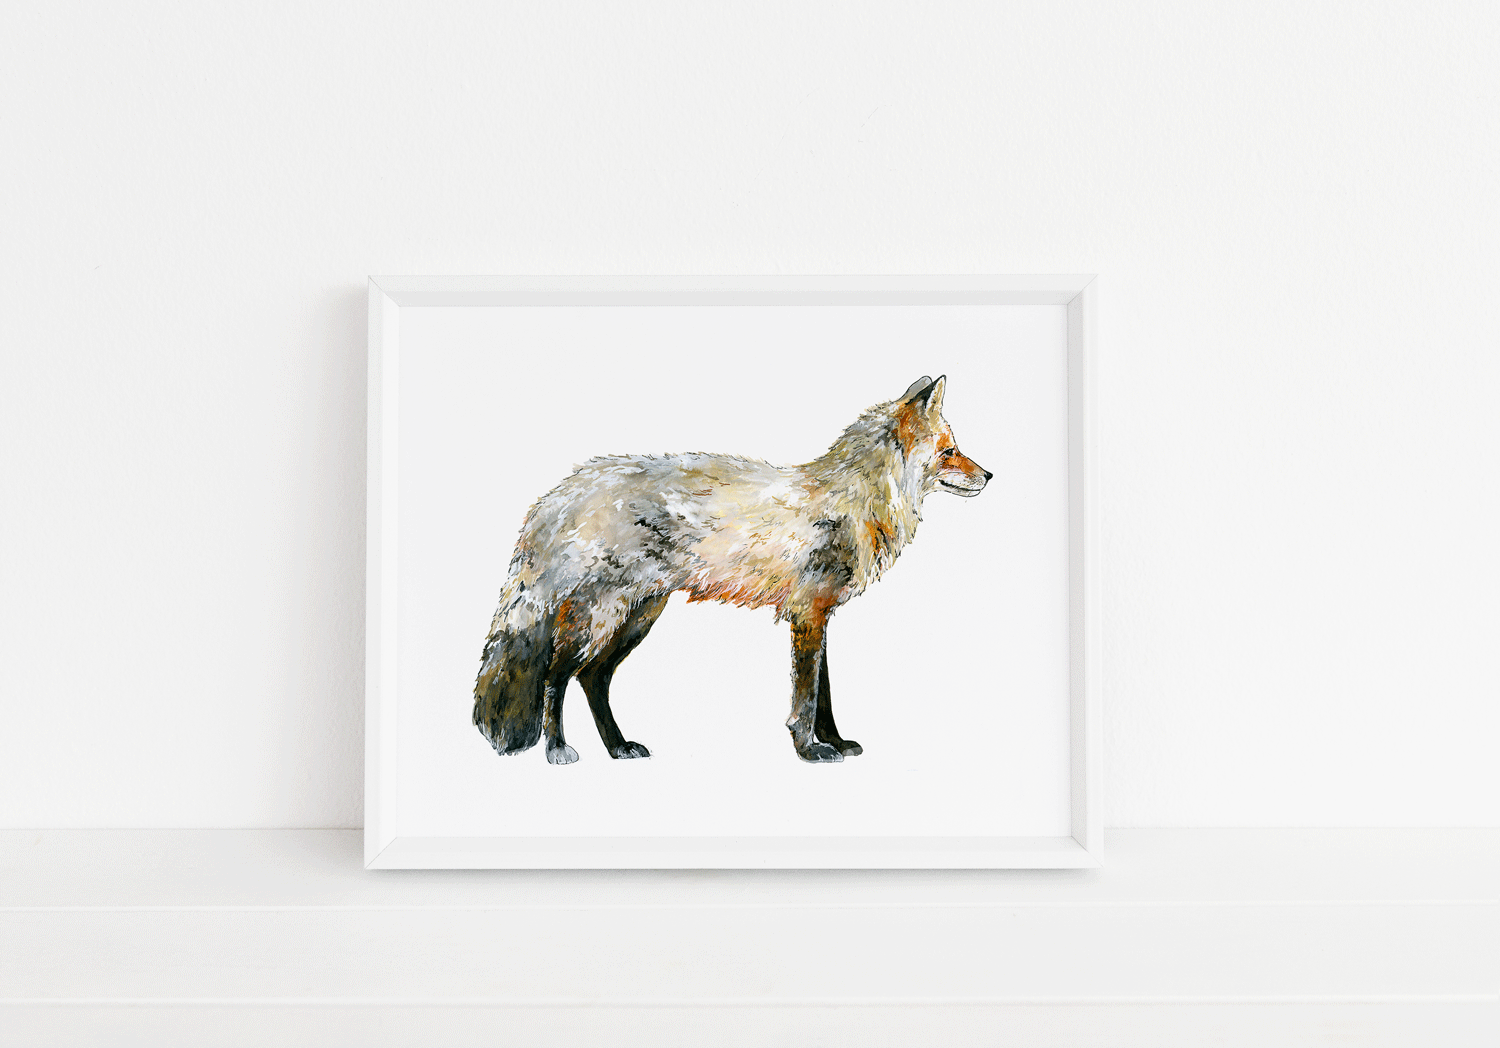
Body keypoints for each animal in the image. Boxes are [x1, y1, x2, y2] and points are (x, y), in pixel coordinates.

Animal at [473, 375, 991, 764]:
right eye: (949, 451)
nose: (989, 475)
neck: (855, 503)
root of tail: (563, 491)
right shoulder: (808, 614)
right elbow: (805, 700)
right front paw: (809, 750)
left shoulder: (819, 615)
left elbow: (824, 694)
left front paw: (836, 742)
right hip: (602, 616)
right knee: (555, 676)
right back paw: (557, 748)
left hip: (638, 617)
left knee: (593, 679)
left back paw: (618, 747)